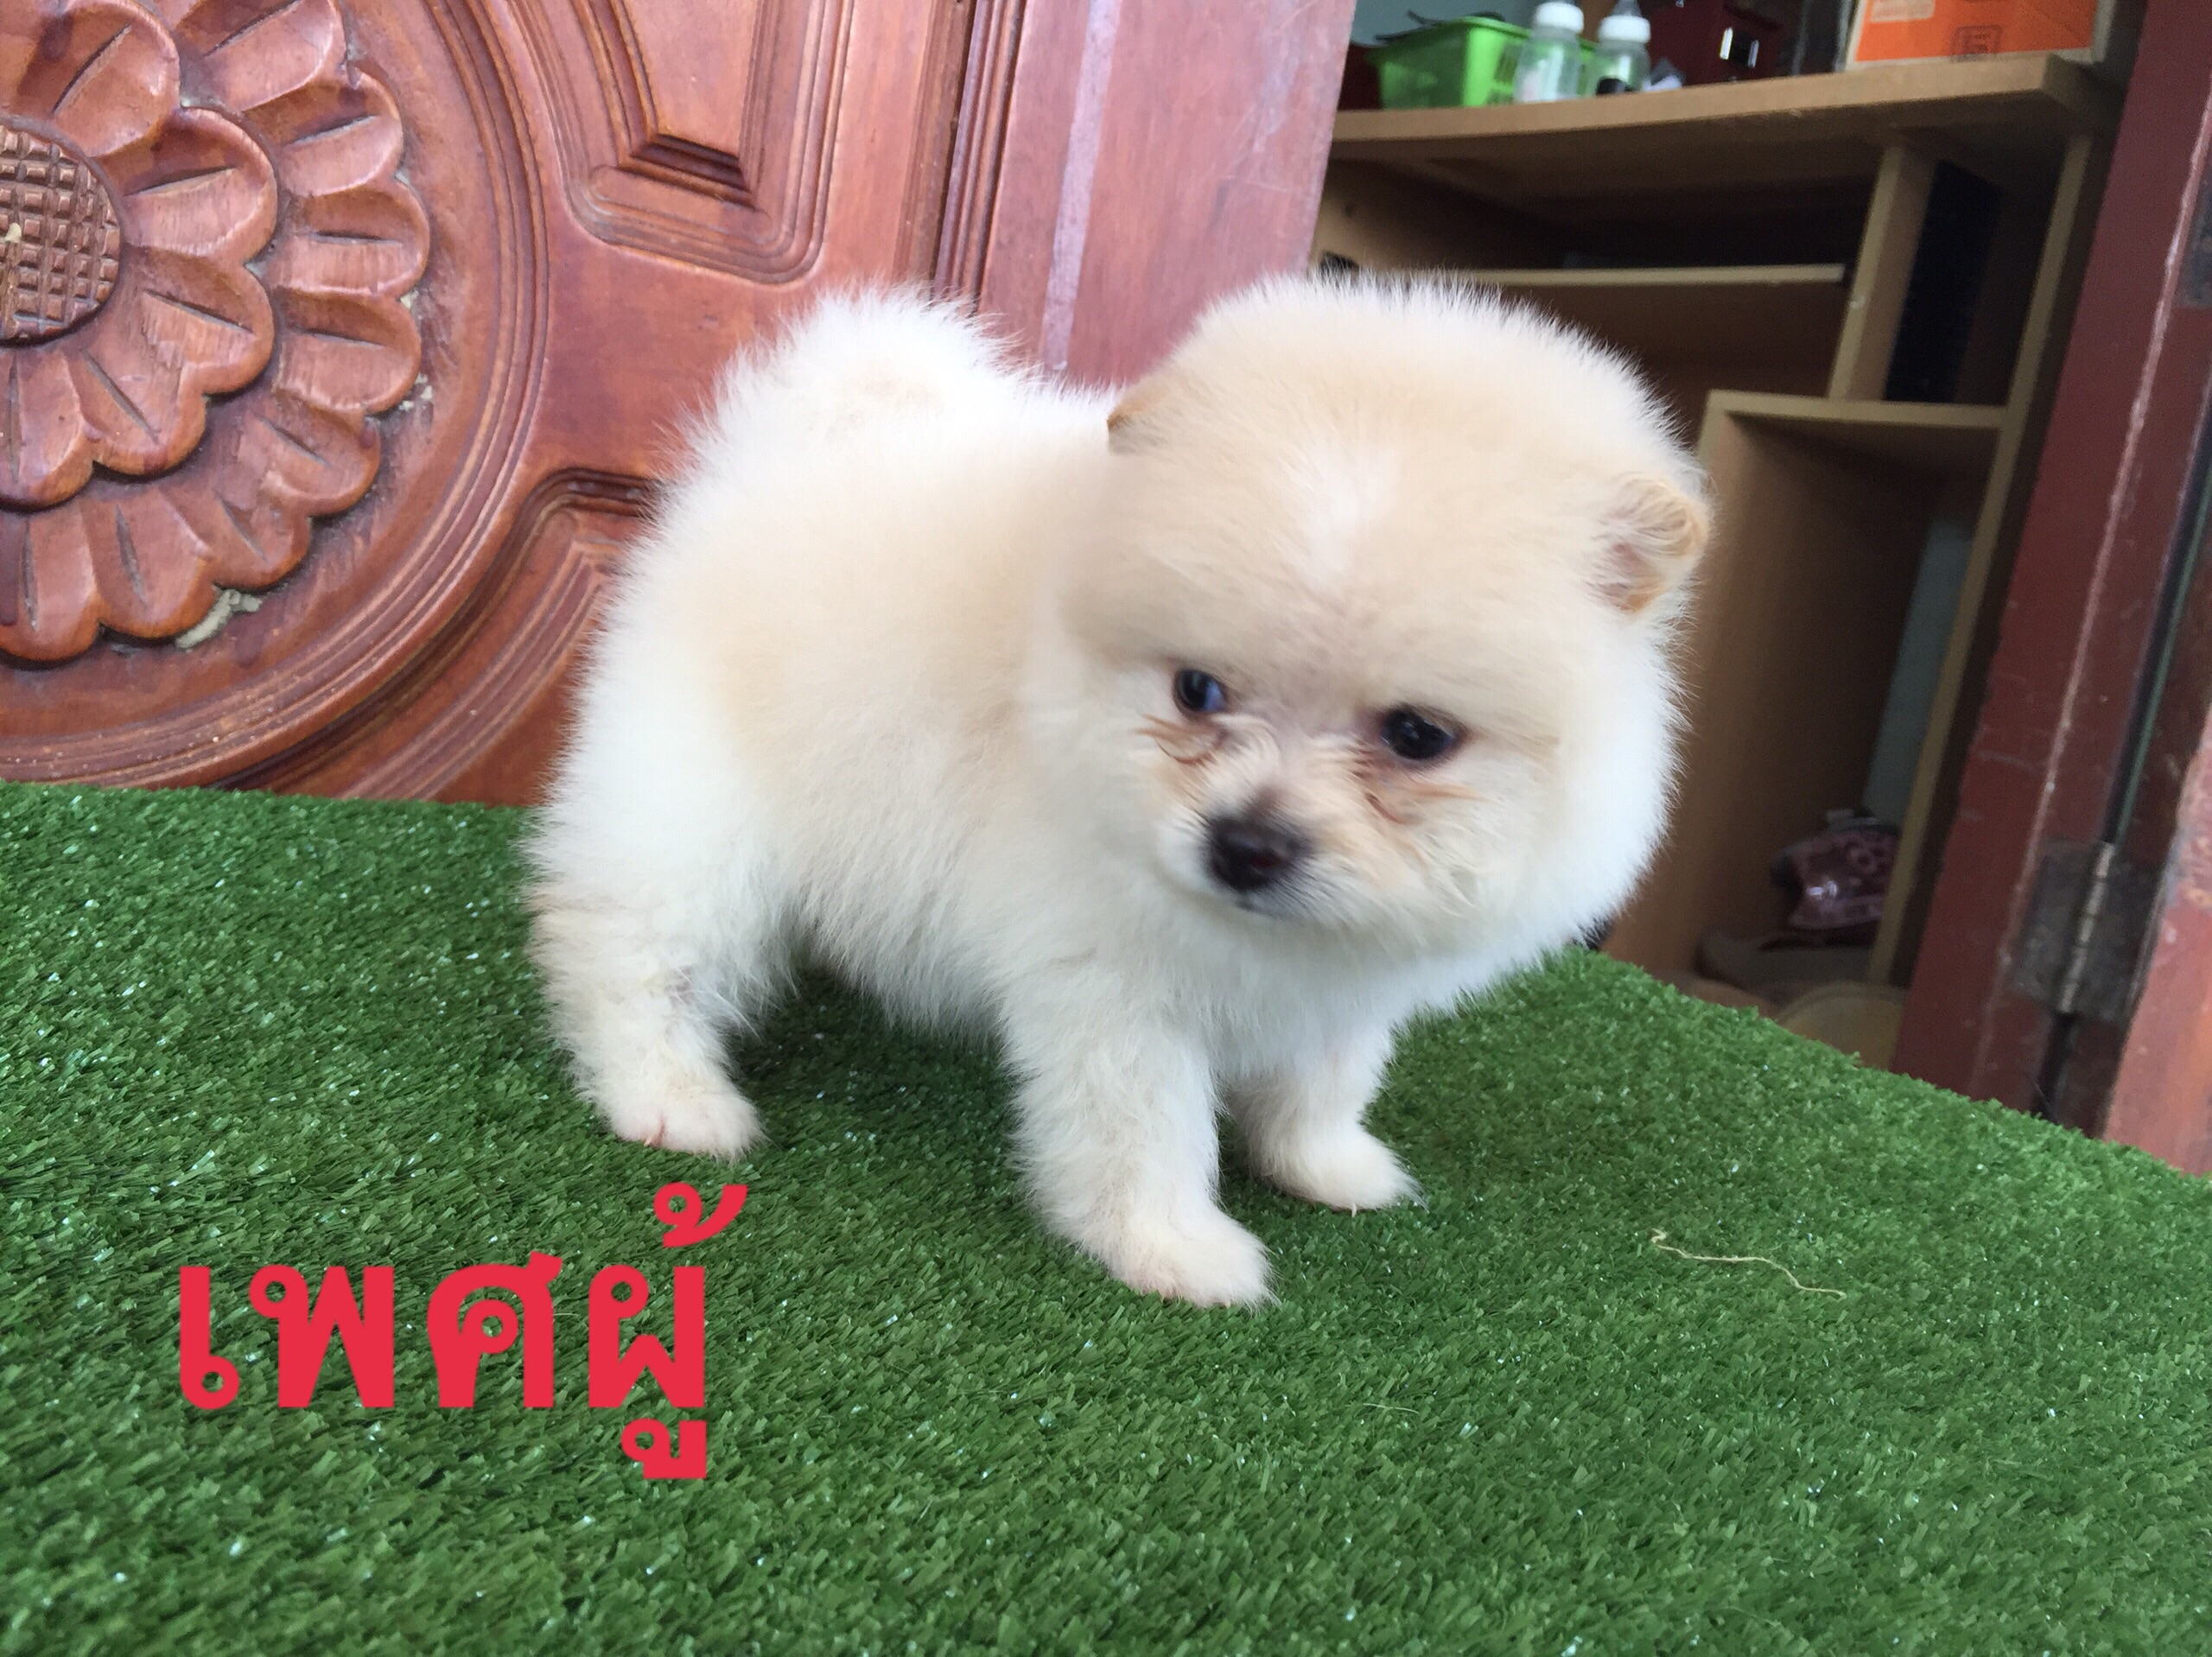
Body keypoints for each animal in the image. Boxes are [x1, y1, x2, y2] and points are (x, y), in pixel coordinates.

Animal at [527, 276, 1708, 1306]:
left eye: (1417, 736)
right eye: (1197, 689)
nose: (1245, 843)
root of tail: (775, 455)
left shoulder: (1336, 990)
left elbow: (1323, 1080)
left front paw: (1325, 1165)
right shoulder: (1112, 989)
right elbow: (1145, 1126)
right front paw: (1171, 1248)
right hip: (696, 809)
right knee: (634, 947)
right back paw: (669, 1097)